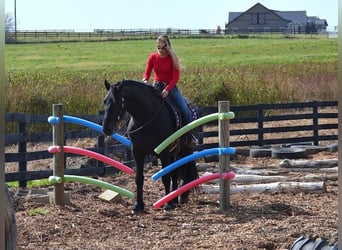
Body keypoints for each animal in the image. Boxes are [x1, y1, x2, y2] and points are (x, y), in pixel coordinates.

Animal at [101, 79, 198, 214]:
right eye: (105, 101)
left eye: (117, 101)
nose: (106, 128)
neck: (146, 118)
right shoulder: (138, 153)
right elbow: (139, 179)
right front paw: (138, 206)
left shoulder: (163, 153)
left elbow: (165, 177)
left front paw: (167, 205)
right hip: (173, 152)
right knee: (174, 172)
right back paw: (174, 199)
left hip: (185, 149)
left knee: (184, 169)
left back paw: (182, 196)